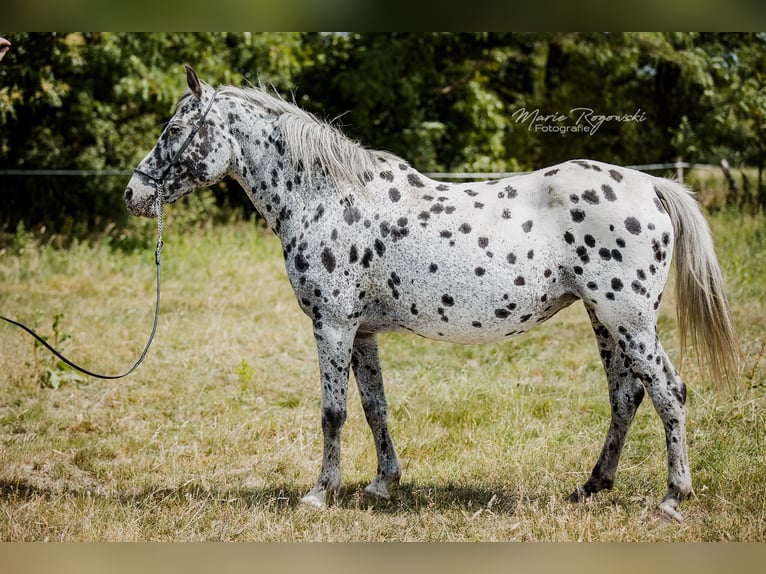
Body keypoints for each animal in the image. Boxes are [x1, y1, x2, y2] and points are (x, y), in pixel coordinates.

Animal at [125, 66, 740, 522]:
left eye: (175, 129)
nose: (133, 193)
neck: (327, 197)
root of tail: (651, 184)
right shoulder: (361, 331)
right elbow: (374, 407)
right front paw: (382, 485)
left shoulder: (332, 324)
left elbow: (332, 412)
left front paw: (320, 493)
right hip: (604, 319)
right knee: (626, 396)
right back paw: (591, 486)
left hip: (629, 319)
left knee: (669, 392)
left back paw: (671, 499)